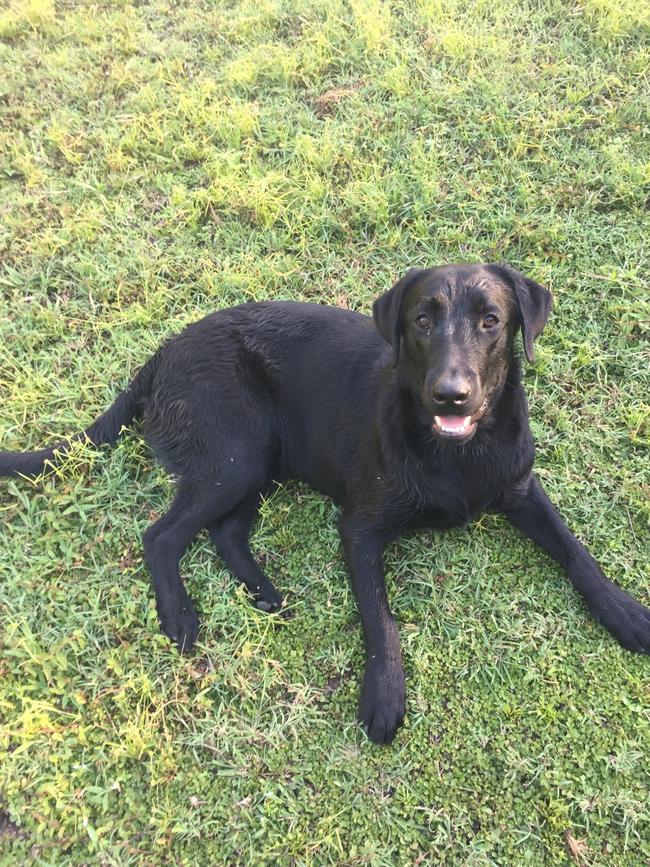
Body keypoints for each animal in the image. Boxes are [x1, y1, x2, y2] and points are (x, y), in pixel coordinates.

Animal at [2, 262, 644, 744]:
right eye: (421, 320)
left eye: (491, 320)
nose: (451, 396)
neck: (459, 452)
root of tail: (161, 354)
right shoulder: (359, 528)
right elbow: (380, 617)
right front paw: (384, 693)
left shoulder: (521, 489)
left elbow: (577, 552)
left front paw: (626, 611)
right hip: (239, 453)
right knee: (161, 535)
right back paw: (180, 614)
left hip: (261, 460)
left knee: (225, 533)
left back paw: (263, 593)